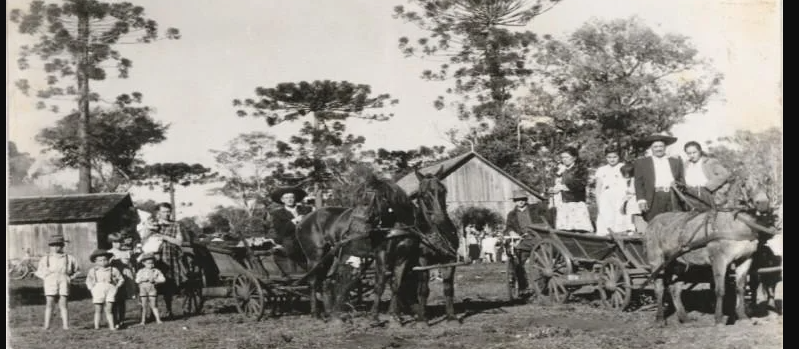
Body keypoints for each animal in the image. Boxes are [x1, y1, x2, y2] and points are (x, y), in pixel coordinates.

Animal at [644, 184, 780, 324]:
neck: (734, 224)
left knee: (674, 289)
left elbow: (740, 288)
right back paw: (660, 318)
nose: (763, 203)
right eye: (745, 184)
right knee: (659, 287)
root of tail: (653, 221)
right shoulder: (719, 260)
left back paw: (685, 318)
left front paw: (742, 316)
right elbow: (720, 290)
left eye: (766, 183)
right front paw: (719, 319)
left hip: (679, 264)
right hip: (657, 260)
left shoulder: (745, 259)